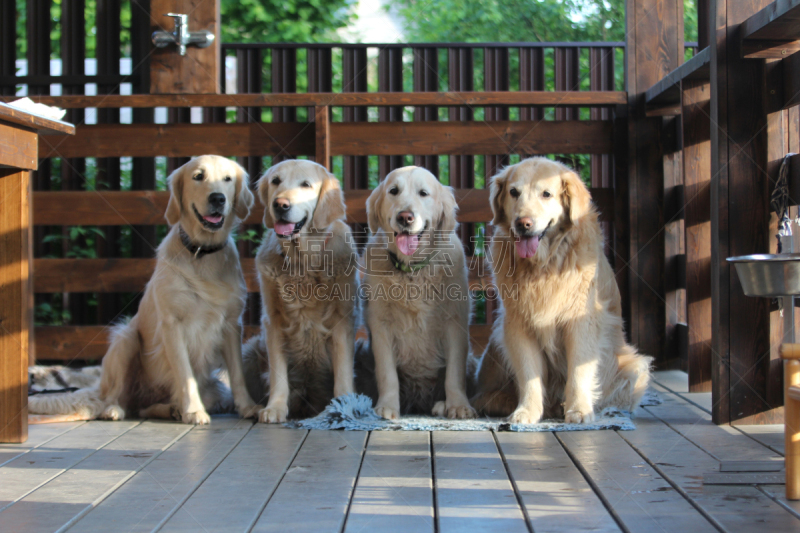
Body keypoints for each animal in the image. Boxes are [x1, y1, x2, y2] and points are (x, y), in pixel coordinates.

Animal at [28, 155, 258, 424]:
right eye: (198, 177)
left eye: (228, 179)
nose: (218, 198)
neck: (202, 253)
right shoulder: (172, 324)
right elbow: (185, 374)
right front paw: (194, 411)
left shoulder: (232, 324)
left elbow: (238, 373)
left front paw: (248, 407)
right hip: (125, 339)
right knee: (116, 398)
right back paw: (115, 409)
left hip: (214, 389)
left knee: (145, 407)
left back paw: (172, 409)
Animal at [242, 160, 358, 422]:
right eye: (275, 181)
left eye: (306, 184)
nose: (280, 204)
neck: (302, 262)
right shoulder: (272, 321)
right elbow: (277, 372)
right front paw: (275, 408)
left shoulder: (342, 320)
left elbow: (343, 370)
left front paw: (343, 406)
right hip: (251, 351)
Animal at [354, 166, 476, 420]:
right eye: (393, 191)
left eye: (423, 193)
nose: (405, 217)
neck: (412, 270)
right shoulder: (380, 325)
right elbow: (387, 373)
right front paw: (387, 407)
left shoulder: (455, 322)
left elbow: (454, 373)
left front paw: (458, 405)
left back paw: (441, 405)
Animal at [472, 156, 652, 422]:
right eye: (514, 192)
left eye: (546, 194)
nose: (523, 223)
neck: (544, 265)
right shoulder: (518, 322)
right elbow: (529, 373)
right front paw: (527, 411)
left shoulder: (580, 321)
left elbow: (579, 370)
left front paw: (579, 410)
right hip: (497, 340)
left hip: (634, 367)